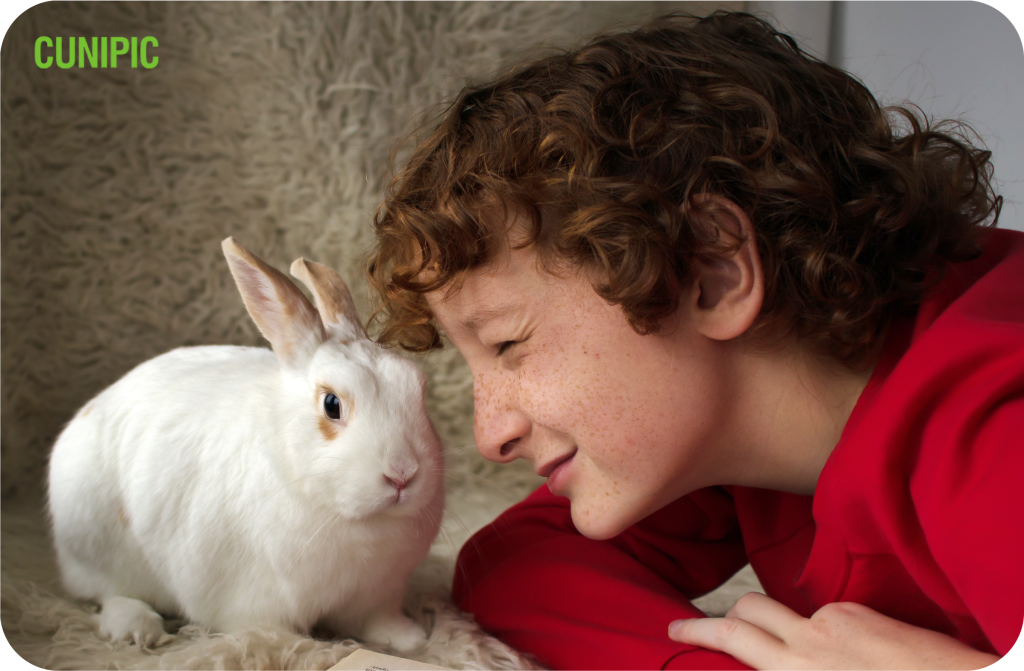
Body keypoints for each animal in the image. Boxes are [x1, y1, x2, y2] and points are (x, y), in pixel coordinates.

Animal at [47, 237, 445, 652]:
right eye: (331, 404)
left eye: (418, 388)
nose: (402, 475)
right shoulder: (256, 599)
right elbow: (271, 633)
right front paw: (298, 648)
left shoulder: (377, 594)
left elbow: (378, 621)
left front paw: (411, 639)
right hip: (100, 548)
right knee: (107, 593)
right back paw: (137, 628)